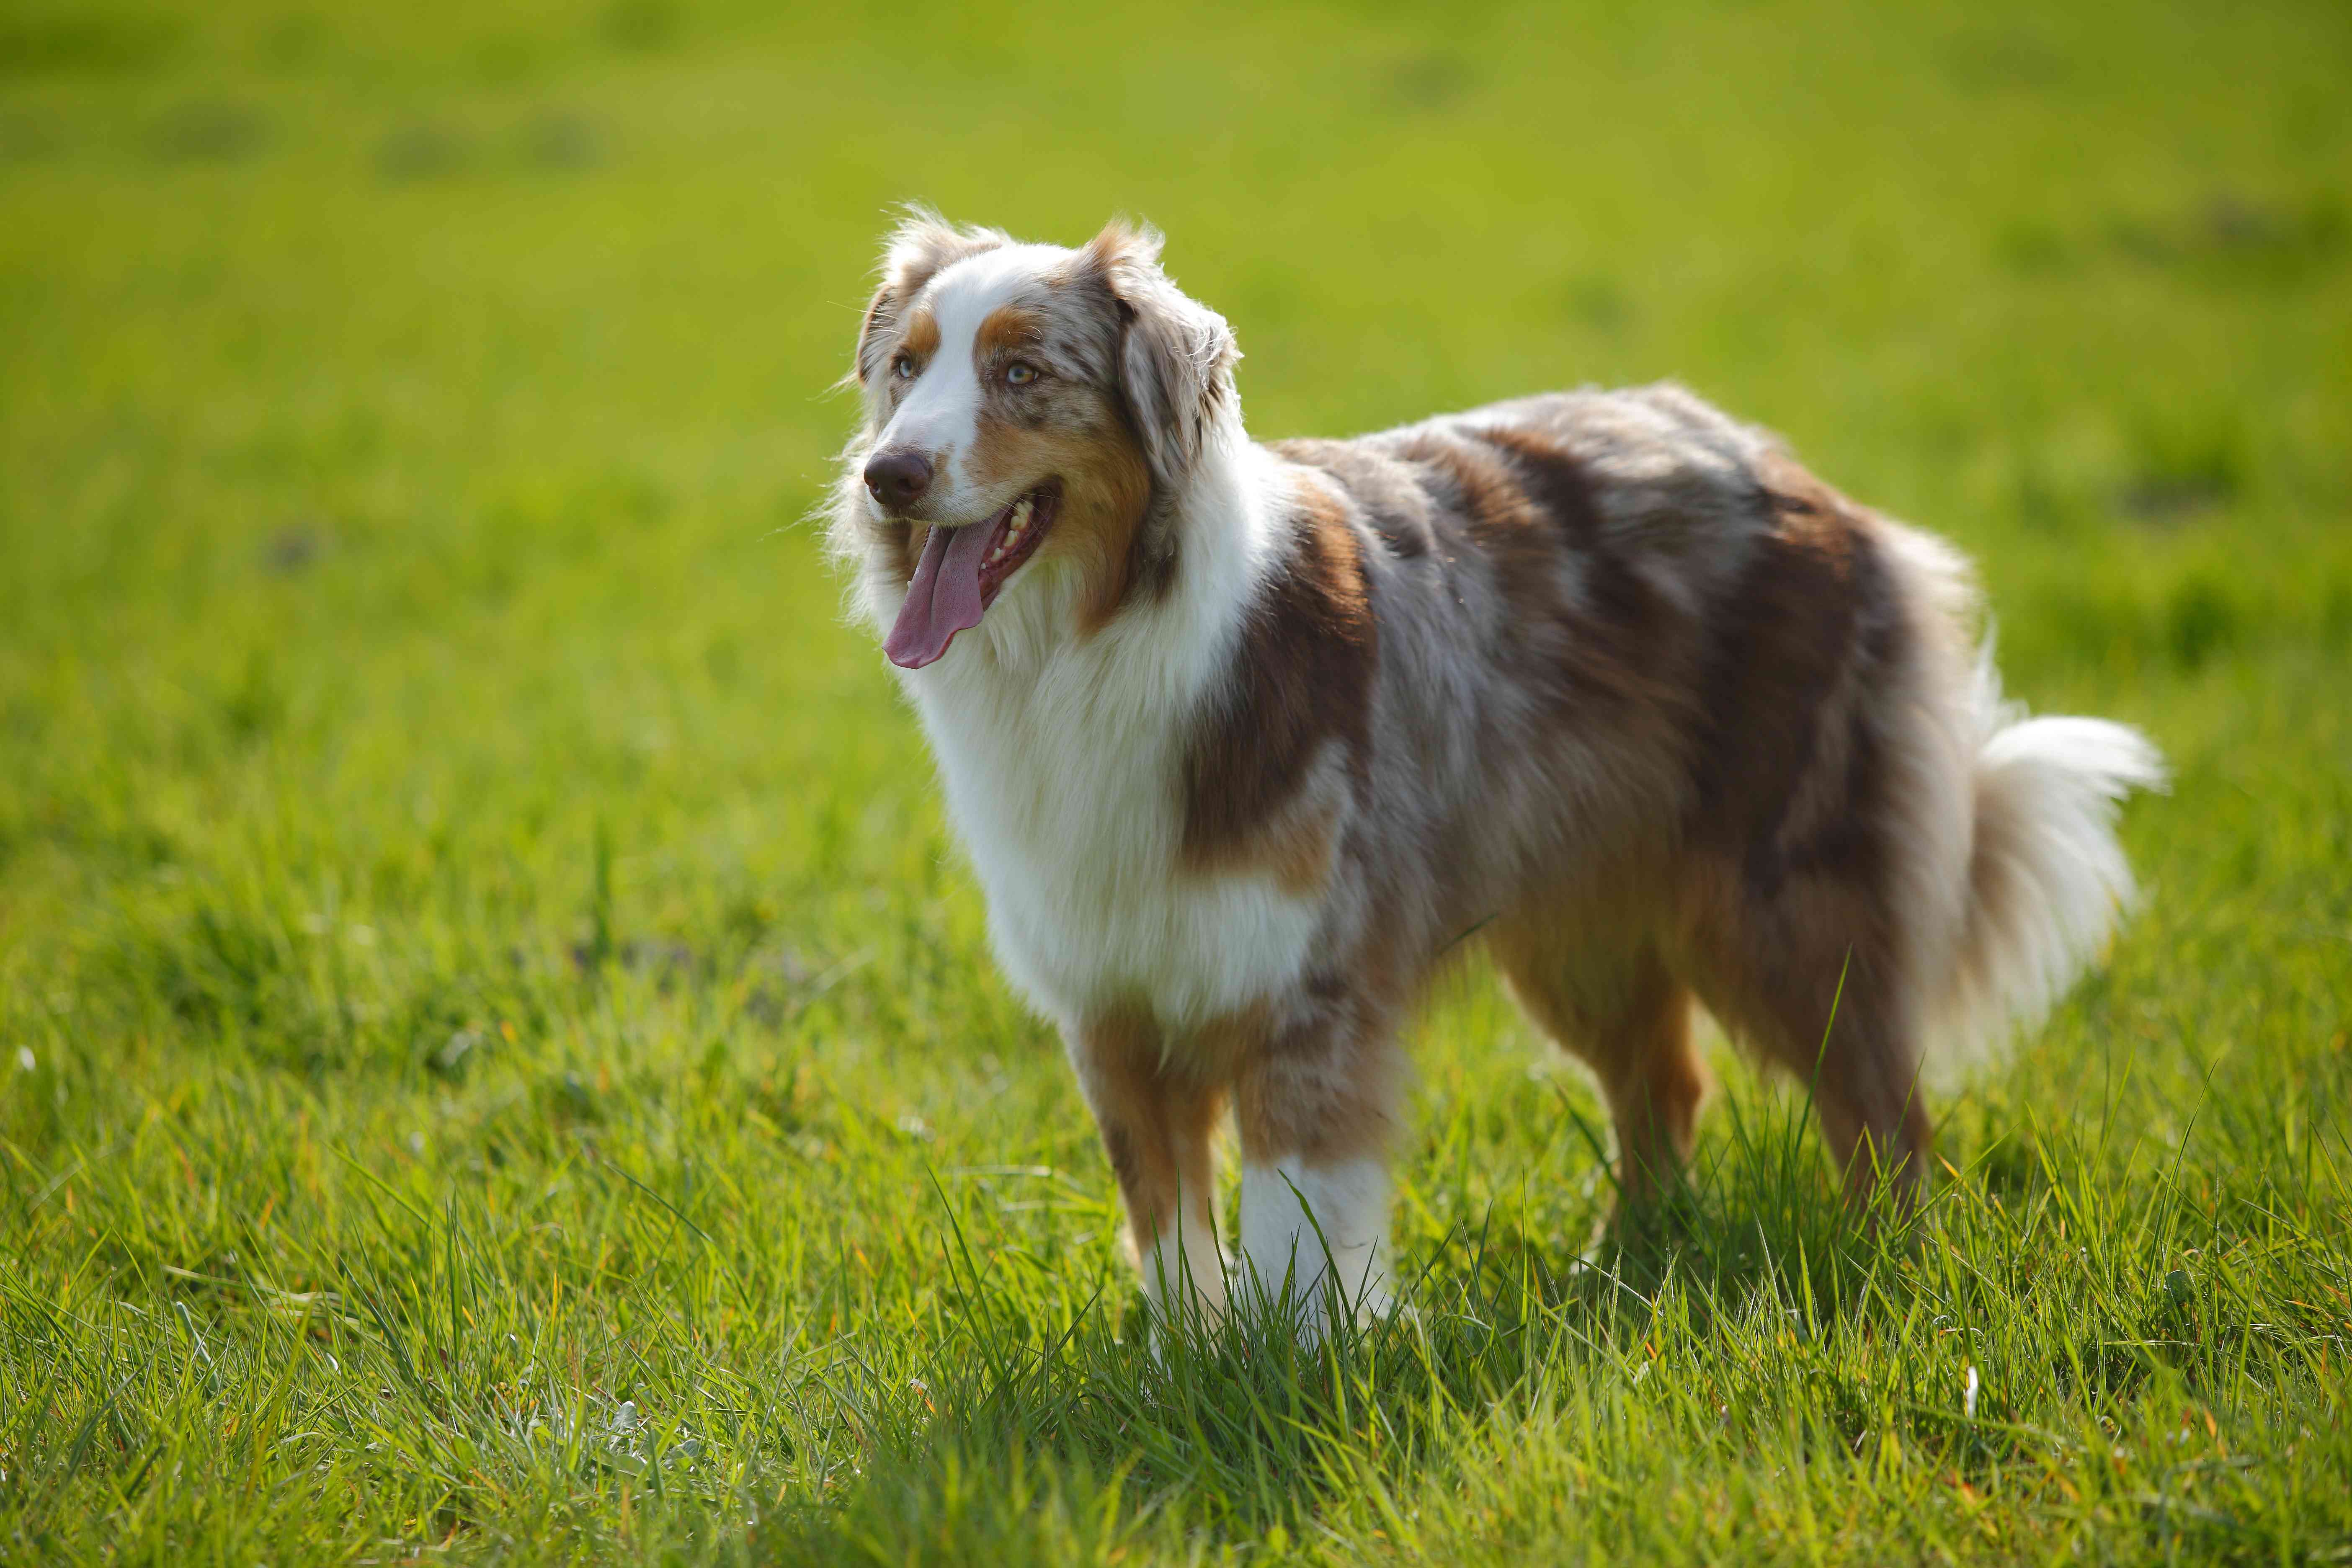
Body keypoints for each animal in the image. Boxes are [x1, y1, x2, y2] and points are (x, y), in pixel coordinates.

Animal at [828, 208, 2164, 1335]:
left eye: (1021, 373)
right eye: (907, 370)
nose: (888, 475)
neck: (1090, 645)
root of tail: (1804, 479)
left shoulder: (1309, 987)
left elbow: (1294, 1215)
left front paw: (1293, 1365)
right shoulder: (1112, 1000)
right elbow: (1169, 1226)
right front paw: (1185, 1366)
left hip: (1789, 898)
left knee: (1882, 1104)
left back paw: (1887, 1270)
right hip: (1580, 927)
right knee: (1667, 1088)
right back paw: (1620, 1267)